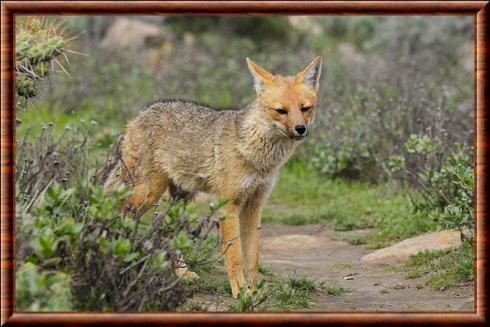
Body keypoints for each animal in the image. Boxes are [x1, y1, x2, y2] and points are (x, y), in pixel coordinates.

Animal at [104, 55, 322, 298]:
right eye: (281, 111)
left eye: (305, 108)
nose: (301, 129)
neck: (260, 158)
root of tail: (139, 115)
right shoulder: (229, 205)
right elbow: (235, 256)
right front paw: (240, 292)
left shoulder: (255, 205)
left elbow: (252, 257)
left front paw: (256, 290)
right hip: (148, 194)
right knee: (122, 213)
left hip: (181, 201)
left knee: (166, 233)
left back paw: (182, 273)